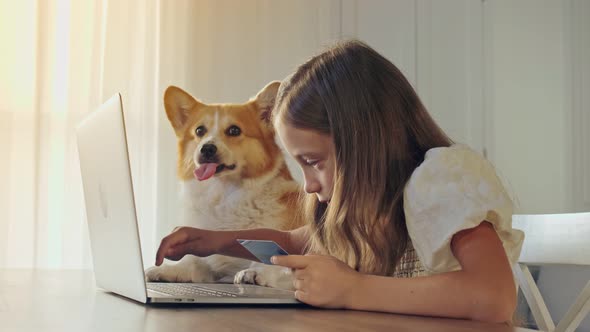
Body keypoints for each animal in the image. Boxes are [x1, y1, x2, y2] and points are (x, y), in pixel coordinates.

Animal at [146, 81, 302, 290]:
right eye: (199, 131)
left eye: (234, 130)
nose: (207, 149)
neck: (224, 193)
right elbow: (193, 263)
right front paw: (166, 270)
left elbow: (275, 261)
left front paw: (256, 272)